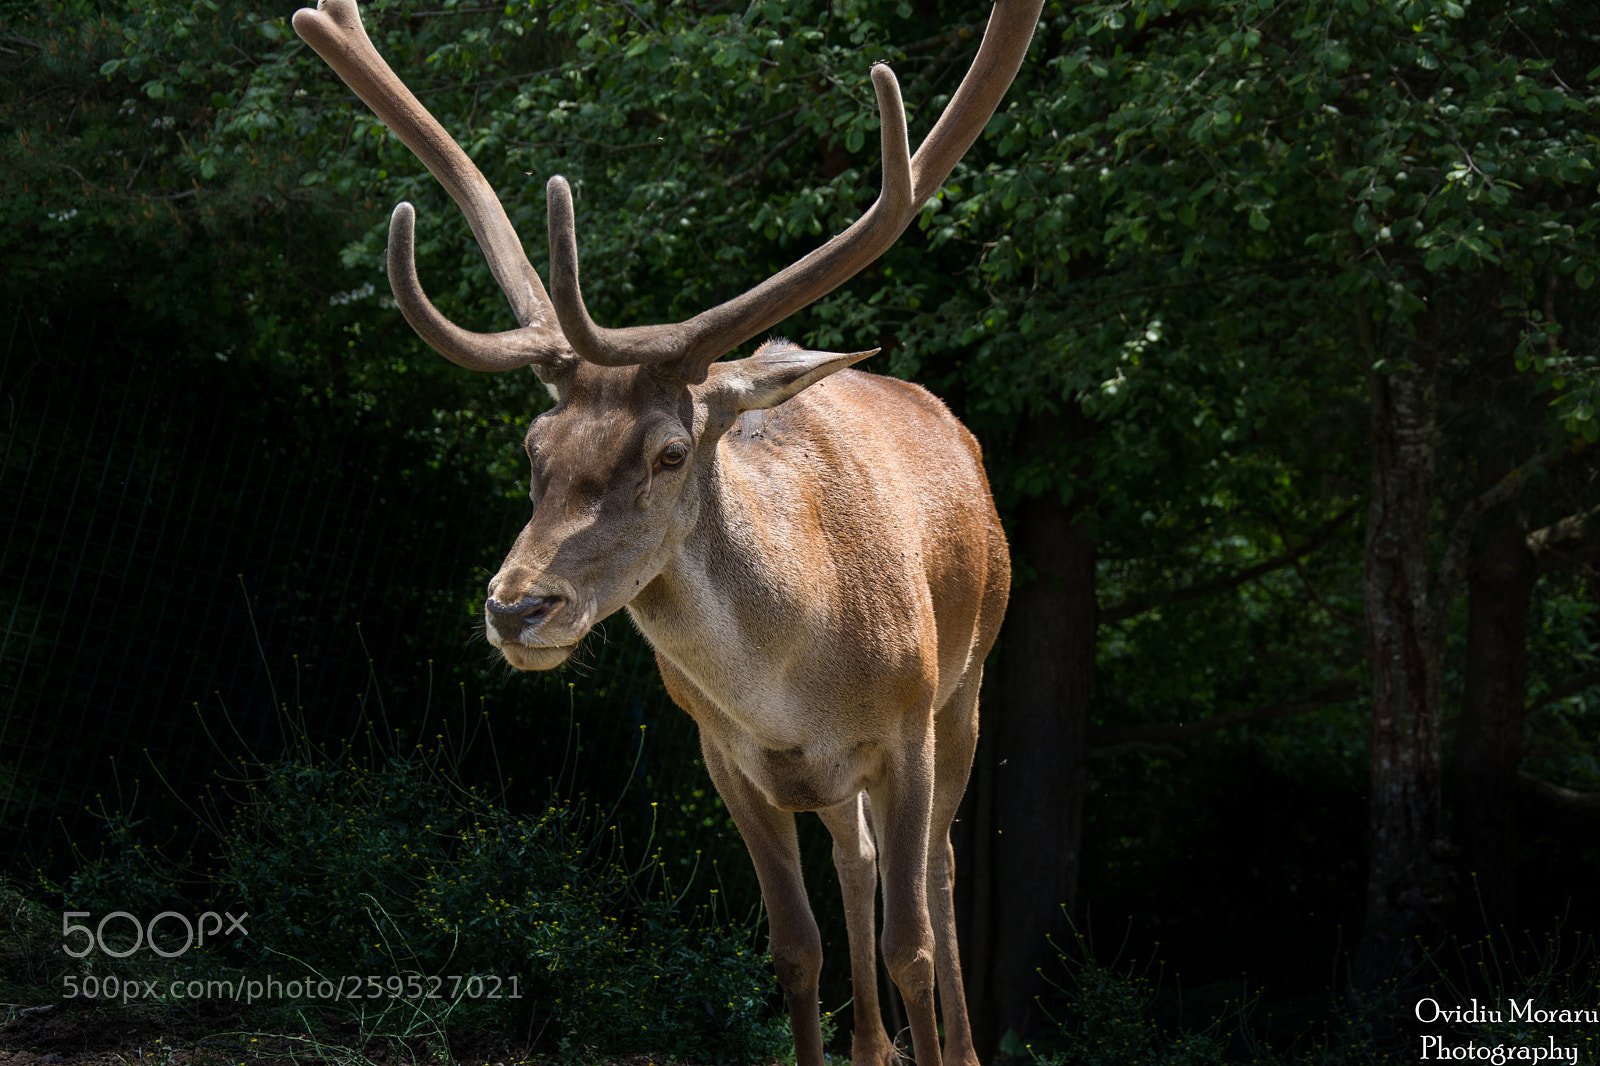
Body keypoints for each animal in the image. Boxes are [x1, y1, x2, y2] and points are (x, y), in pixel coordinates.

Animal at [291, 2, 1038, 1063]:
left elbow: (915, 946)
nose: (517, 607)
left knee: (936, 873)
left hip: (966, 686)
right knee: (854, 859)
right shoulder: (725, 757)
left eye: (671, 452)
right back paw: (872, 1046)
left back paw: (954, 1041)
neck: (793, 686)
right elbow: (794, 948)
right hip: (847, 772)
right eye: (533, 445)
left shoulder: (906, 729)